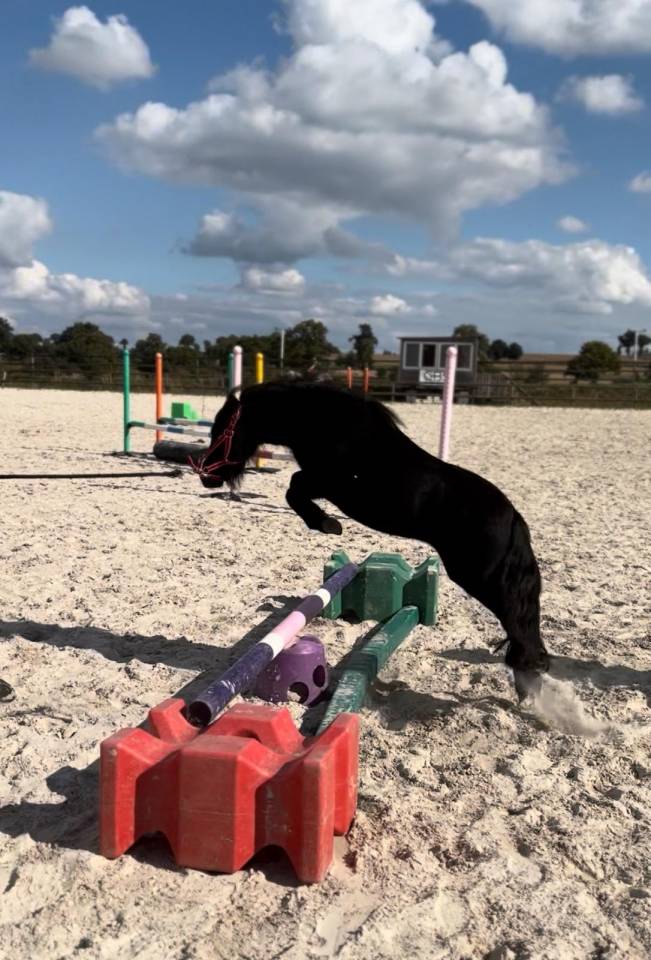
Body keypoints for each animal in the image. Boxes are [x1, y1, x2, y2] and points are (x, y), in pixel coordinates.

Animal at [192, 380, 550, 699]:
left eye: (222, 429)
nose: (206, 474)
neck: (323, 421)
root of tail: (512, 516)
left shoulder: (326, 482)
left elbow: (293, 489)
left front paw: (327, 524)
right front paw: (327, 524)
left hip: (480, 577)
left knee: (517, 622)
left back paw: (528, 682)